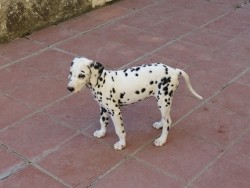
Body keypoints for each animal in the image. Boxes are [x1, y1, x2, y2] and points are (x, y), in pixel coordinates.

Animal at [67, 57, 203, 150]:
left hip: (163, 100)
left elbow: (119, 130)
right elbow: (103, 121)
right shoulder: (103, 108)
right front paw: (101, 133)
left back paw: (162, 140)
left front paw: (121, 144)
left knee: (168, 121)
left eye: (81, 75)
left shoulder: (115, 111)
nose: (69, 88)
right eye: (70, 73)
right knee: (167, 119)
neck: (101, 81)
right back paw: (159, 124)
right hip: (163, 101)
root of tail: (174, 70)